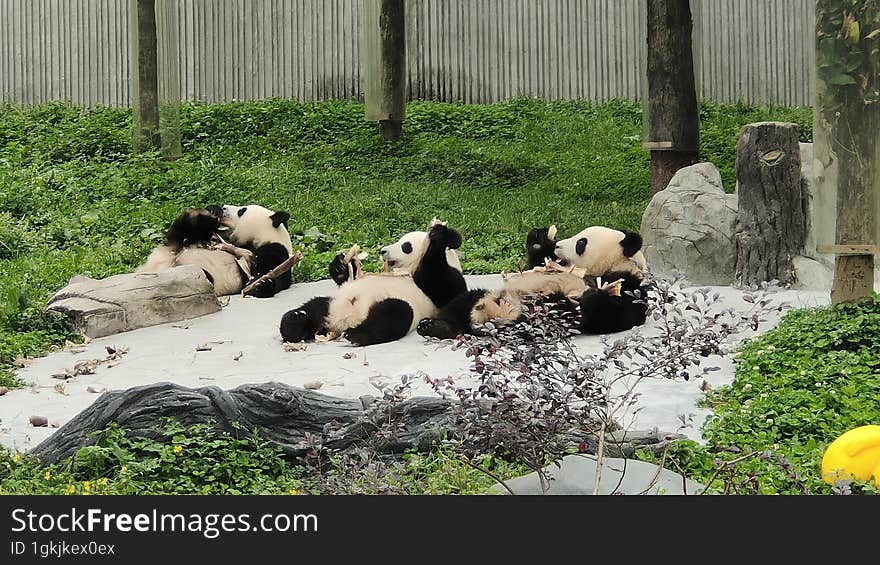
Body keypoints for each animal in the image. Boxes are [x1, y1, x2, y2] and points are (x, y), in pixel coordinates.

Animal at [138, 204, 294, 300]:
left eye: (241, 211)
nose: (224, 207)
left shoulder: (275, 249)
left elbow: (277, 274)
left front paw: (262, 284)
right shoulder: (217, 237)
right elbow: (205, 233)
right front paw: (213, 210)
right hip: (173, 246)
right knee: (180, 229)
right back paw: (197, 214)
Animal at [282, 221, 468, 346]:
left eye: (406, 246)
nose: (383, 250)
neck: (404, 271)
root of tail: (343, 322)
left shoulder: (443, 283)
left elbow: (444, 286)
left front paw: (437, 236)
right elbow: (347, 278)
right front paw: (341, 263)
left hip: (398, 306)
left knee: (393, 314)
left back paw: (357, 334)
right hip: (333, 304)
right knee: (314, 306)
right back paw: (294, 322)